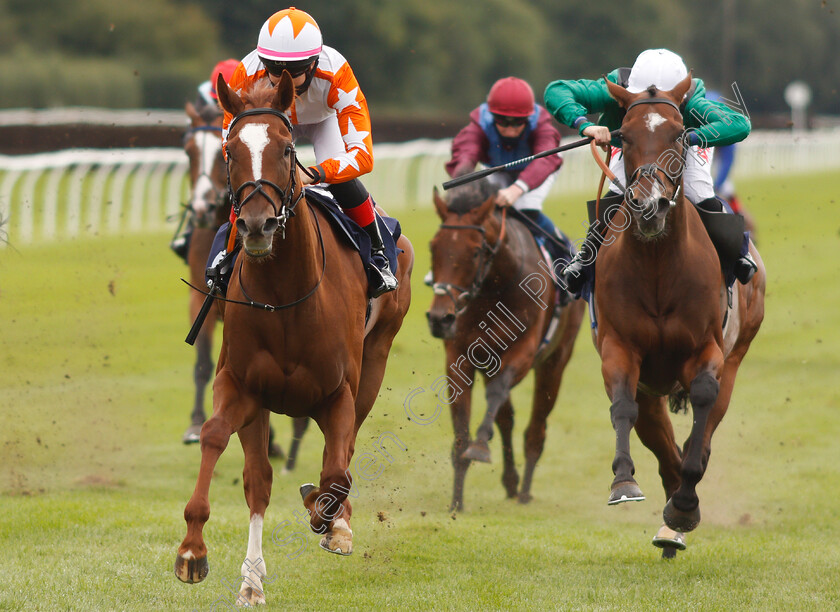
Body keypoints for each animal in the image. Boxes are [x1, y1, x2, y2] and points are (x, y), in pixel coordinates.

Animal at [175, 73, 414, 608]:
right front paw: (196, 552)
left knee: (344, 453)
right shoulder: (242, 385)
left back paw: (334, 518)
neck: (285, 297)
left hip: (378, 356)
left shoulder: (338, 393)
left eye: (286, 149)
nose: (255, 224)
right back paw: (253, 576)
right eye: (229, 152)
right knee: (261, 478)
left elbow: (336, 473)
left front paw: (330, 521)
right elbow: (223, 444)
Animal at [426, 178, 584, 512]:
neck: (494, 288)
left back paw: (523, 492)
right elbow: (462, 428)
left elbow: (498, 394)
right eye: (434, 246)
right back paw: (511, 482)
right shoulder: (461, 356)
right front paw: (456, 503)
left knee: (536, 428)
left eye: (475, 252)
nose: (439, 319)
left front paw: (480, 447)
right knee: (506, 418)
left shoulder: (522, 352)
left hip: (556, 360)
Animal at [592, 74, 764, 556]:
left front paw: (685, 506)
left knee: (700, 439)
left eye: (676, 134)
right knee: (662, 444)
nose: (649, 206)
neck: (657, 266)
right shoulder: (620, 348)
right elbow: (622, 407)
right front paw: (624, 482)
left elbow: (700, 417)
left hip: (736, 357)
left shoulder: (707, 351)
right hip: (653, 387)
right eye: (624, 136)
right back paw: (670, 526)